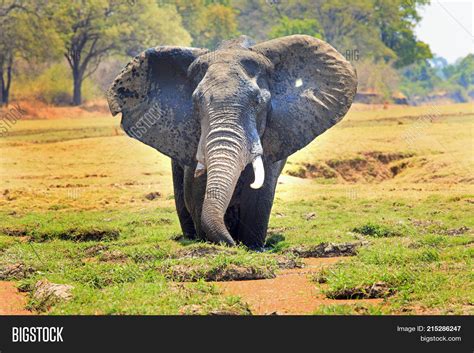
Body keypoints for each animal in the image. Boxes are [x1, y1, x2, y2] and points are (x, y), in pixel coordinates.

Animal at [106, 35, 356, 248]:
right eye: (196, 103)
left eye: (258, 102)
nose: (233, 245)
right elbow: (195, 192)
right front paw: (210, 241)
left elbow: (260, 195)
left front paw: (253, 247)